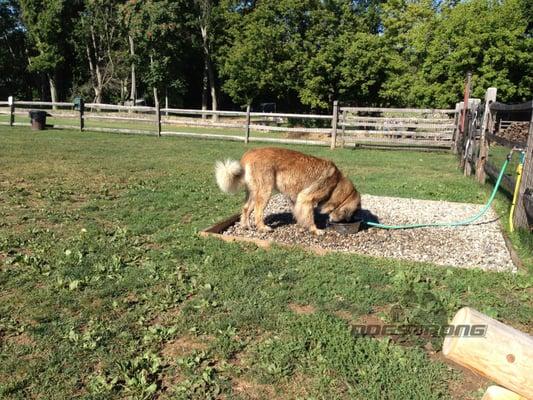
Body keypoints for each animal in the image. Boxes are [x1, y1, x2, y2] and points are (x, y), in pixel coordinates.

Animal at [214, 147, 360, 234]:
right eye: (351, 212)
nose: (349, 221)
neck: (336, 184)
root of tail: (248, 154)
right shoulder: (305, 198)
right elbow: (309, 217)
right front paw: (315, 230)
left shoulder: (297, 200)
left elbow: (300, 214)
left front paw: (302, 226)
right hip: (265, 192)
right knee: (258, 212)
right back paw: (262, 228)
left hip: (254, 193)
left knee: (246, 209)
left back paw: (246, 226)